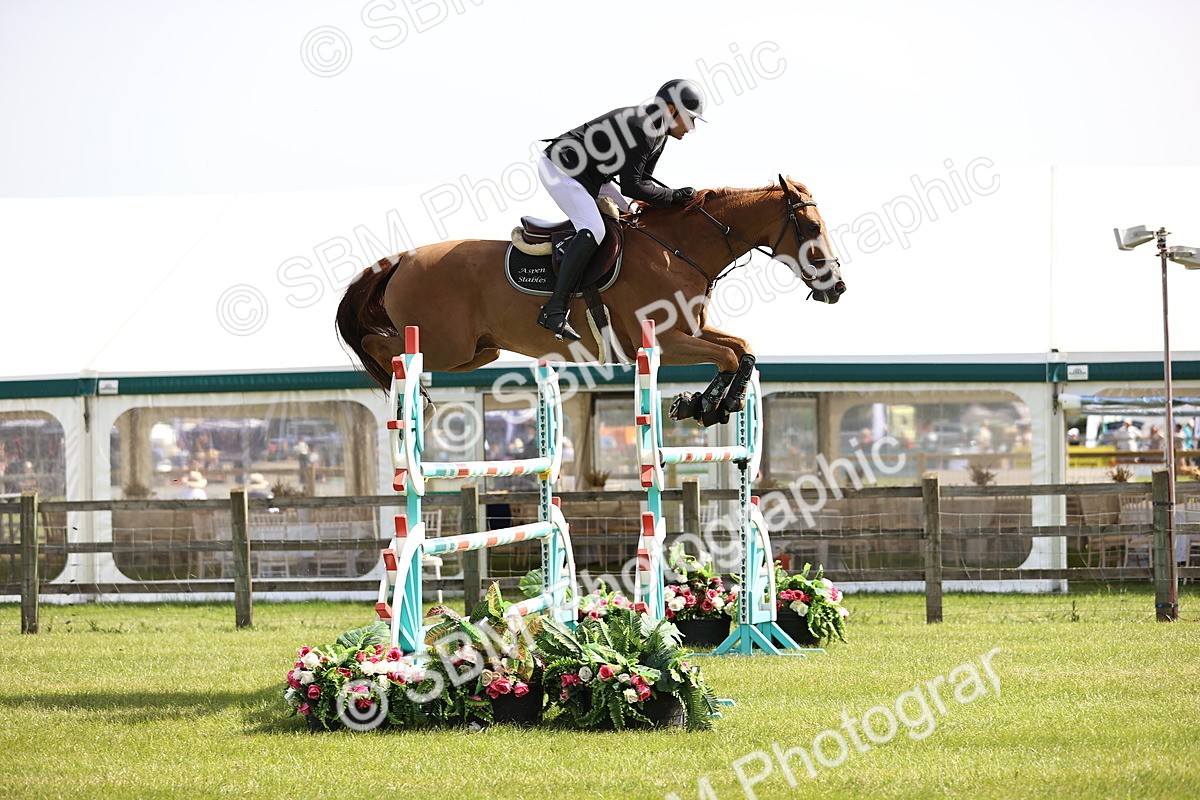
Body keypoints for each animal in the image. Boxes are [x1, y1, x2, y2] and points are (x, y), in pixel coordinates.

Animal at [336, 175, 846, 425]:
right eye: (811, 227)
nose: (837, 286)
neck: (677, 248)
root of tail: (401, 259)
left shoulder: (693, 330)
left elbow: (742, 350)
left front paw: (707, 405)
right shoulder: (664, 342)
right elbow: (728, 355)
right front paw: (706, 406)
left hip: (479, 352)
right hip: (446, 345)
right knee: (380, 346)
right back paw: (407, 390)